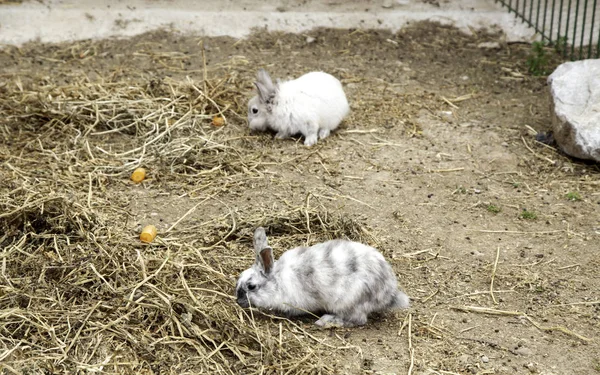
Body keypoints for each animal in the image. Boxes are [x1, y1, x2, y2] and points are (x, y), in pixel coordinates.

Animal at [233, 228, 408, 328]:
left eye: (251, 286)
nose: (238, 301)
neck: (277, 281)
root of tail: (390, 294)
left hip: (349, 302)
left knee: (358, 320)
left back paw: (325, 322)